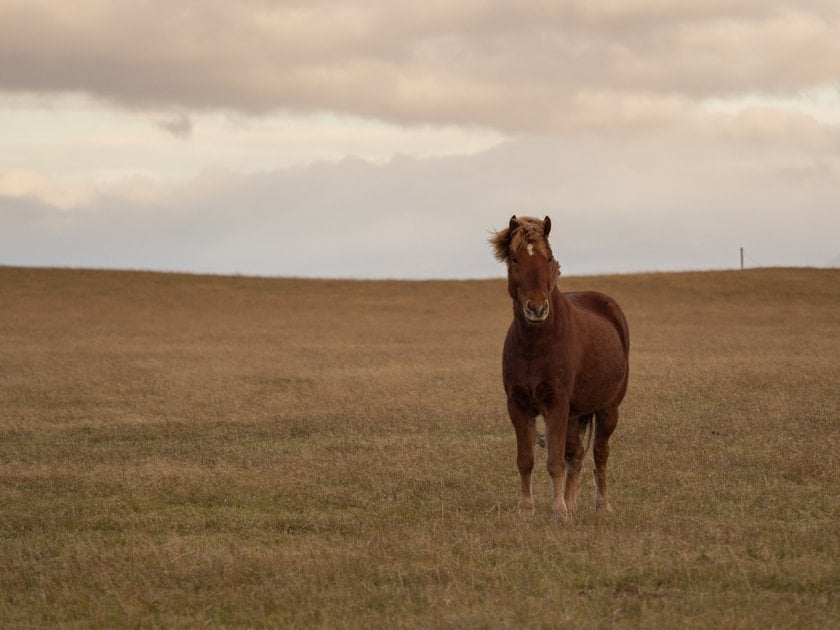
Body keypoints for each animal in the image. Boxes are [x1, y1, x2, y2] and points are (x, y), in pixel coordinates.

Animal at [488, 215, 628, 520]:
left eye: (548, 258)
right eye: (515, 259)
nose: (537, 308)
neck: (536, 343)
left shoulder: (557, 404)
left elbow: (554, 461)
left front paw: (559, 512)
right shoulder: (518, 405)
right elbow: (526, 459)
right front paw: (527, 510)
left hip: (608, 408)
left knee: (600, 452)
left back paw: (602, 504)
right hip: (575, 414)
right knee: (576, 453)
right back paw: (572, 503)